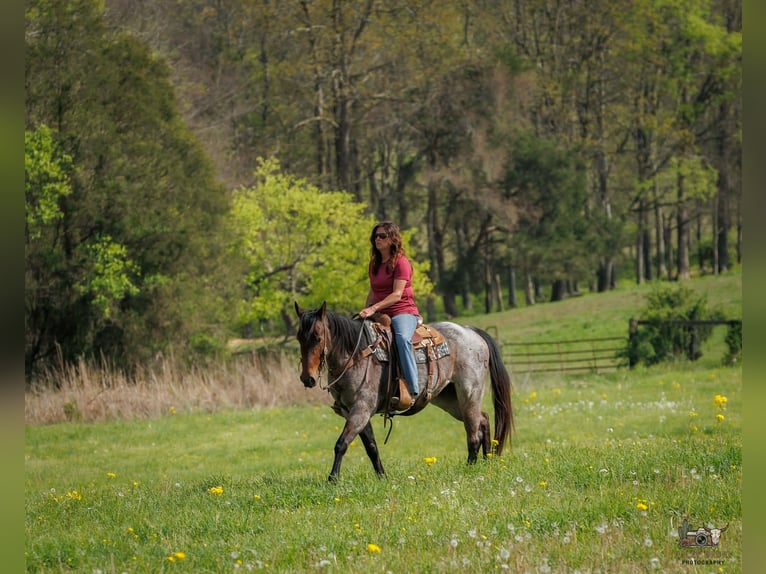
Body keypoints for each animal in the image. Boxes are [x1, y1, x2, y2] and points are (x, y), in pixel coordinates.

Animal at [294, 301, 514, 481]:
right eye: (299, 338)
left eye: (317, 337)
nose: (307, 378)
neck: (357, 355)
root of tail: (471, 331)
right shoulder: (353, 412)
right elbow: (371, 447)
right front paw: (382, 477)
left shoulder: (361, 409)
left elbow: (341, 444)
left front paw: (332, 479)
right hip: (450, 399)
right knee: (483, 419)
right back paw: (486, 461)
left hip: (469, 393)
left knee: (473, 431)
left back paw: (470, 467)